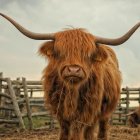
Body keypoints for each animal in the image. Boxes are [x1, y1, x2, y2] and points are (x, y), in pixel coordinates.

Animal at [0, 12, 140, 139]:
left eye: (87, 54)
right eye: (61, 52)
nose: (73, 70)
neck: (72, 92)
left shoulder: (87, 110)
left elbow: (78, 131)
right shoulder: (60, 111)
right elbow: (65, 131)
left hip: (105, 110)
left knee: (100, 128)